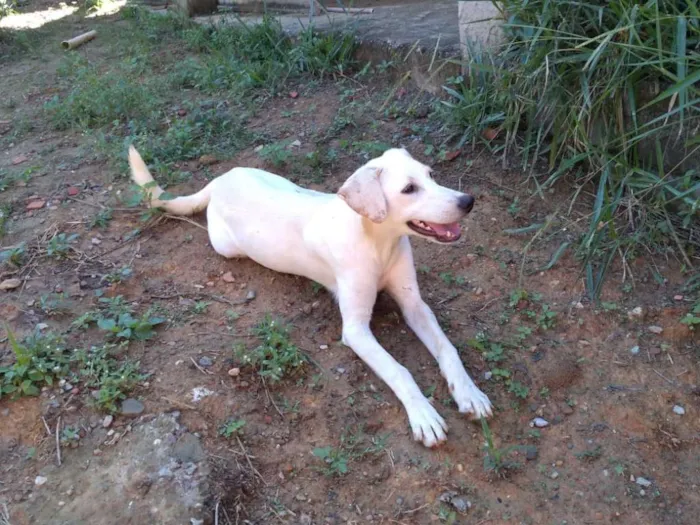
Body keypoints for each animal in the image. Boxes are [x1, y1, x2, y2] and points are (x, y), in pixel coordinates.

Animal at [130, 144, 492, 446]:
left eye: (431, 175)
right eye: (409, 189)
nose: (468, 201)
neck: (378, 242)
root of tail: (220, 180)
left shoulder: (415, 305)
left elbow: (447, 349)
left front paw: (469, 393)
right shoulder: (355, 330)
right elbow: (398, 369)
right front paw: (423, 414)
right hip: (226, 246)